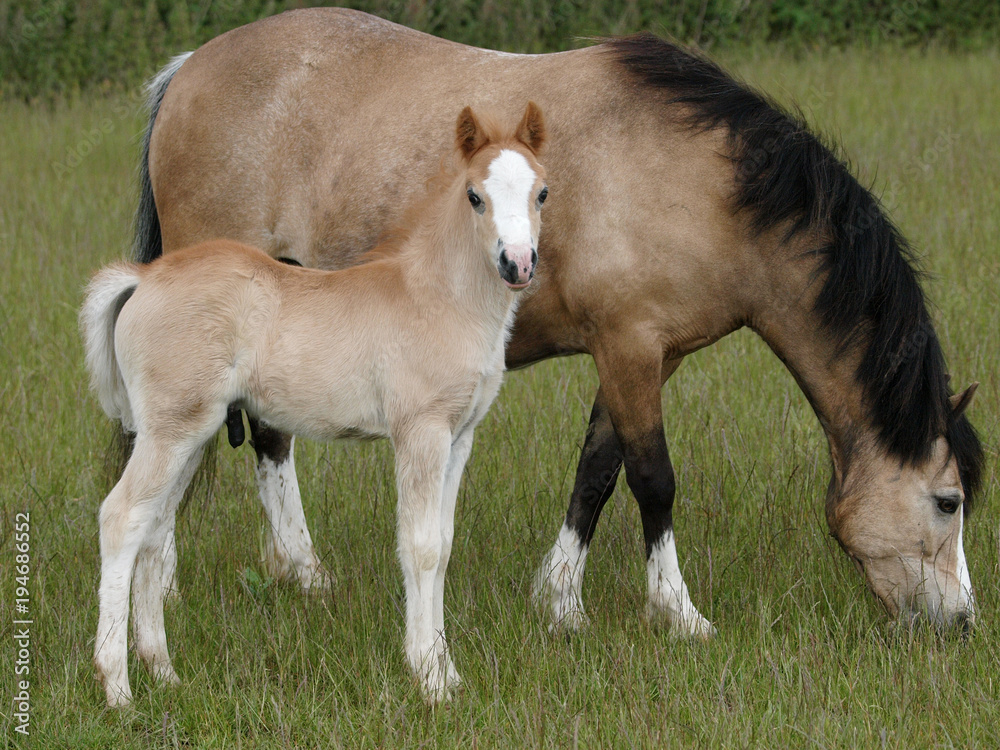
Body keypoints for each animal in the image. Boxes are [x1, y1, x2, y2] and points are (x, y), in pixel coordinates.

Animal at [82, 102, 549, 706]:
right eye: (475, 195)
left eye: (542, 192)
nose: (518, 263)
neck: (439, 297)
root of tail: (142, 279)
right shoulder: (420, 432)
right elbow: (420, 546)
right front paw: (428, 677)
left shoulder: (459, 437)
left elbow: (443, 545)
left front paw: (446, 672)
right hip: (170, 431)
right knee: (121, 518)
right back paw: (117, 688)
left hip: (189, 433)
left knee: (155, 530)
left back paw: (163, 670)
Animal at [136, 9, 983, 633]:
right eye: (948, 501)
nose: (961, 622)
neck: (706, 190)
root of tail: (187, 70)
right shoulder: (630, 348)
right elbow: (653, 480)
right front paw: (678, 614)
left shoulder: (643, 355)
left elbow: (596, 474)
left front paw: (560, 603)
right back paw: (199, 583)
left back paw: (289, 574)